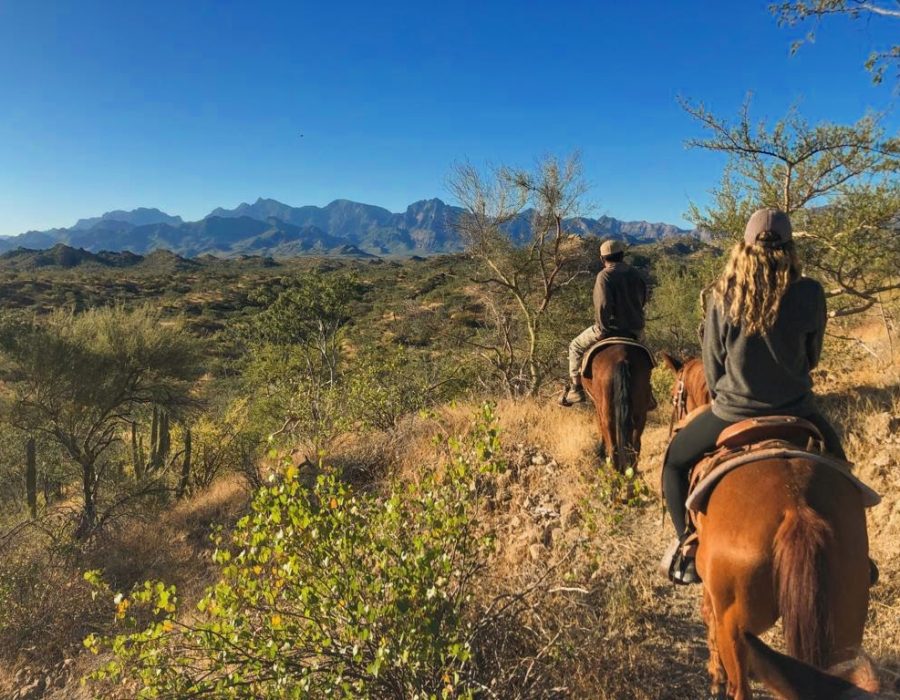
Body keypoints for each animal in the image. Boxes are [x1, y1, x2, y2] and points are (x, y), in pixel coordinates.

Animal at [580, 344, 652, 474]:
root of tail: (621, 357)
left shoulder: (597, 403)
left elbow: (600, 425)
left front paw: (600, 452)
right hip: (640, 407)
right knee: (636, 437)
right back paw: (632, 469)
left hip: (605, 403)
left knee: (608, 429)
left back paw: (614, 468)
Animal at [660, 356, 880, 700]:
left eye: (674, 396)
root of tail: (796, 508)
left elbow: (706, 616)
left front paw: (715, 676)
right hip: (846, 620)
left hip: (736, 628)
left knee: (740, 688)